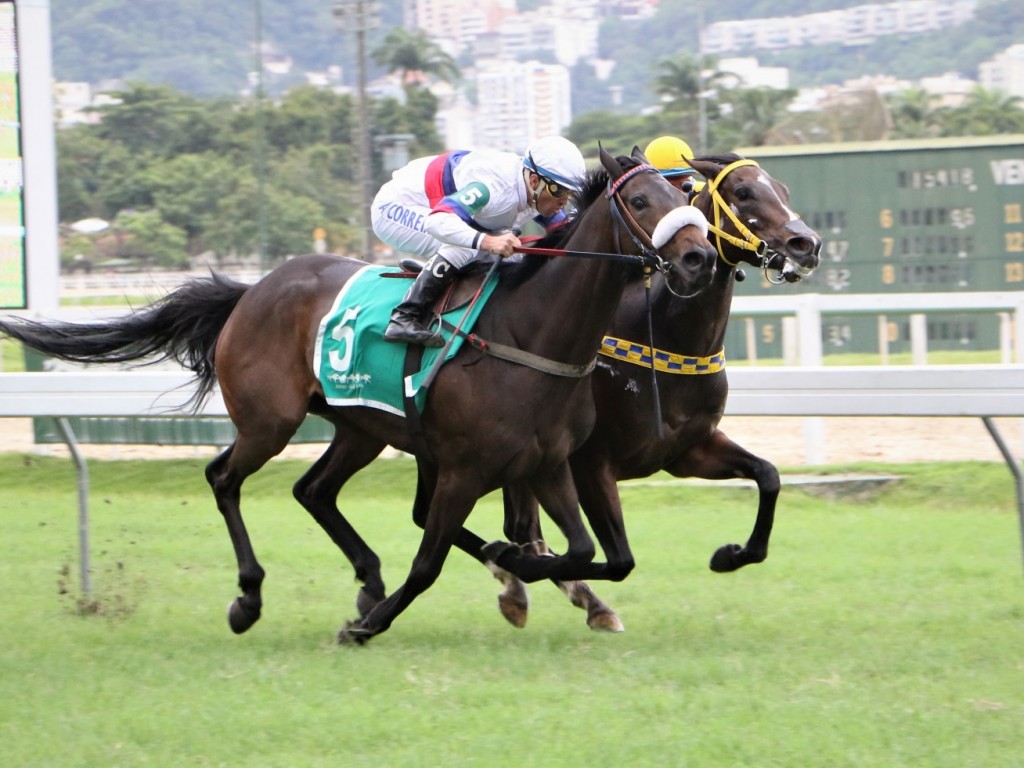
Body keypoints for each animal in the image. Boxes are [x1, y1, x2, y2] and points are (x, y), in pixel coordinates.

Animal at [0, 147, 716, 647]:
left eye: (685, 196)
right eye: (642, 201)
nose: (699, 259)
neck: (533, 332)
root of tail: (253, 289)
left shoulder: (545, 462)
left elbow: (595, 554)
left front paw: (519, 568)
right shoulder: (465, 467)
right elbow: (429, 562)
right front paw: (369, 627)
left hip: (360, 428)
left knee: (312, 490)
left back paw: (369, 581)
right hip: (270, 421)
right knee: (224, 478)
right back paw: (250, 599)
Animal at [483, 151, 819, 630]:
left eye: (783, 190)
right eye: (743, 192)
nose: (806, 244)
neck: (662, 338)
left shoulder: (687, 449)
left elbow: (768, 476)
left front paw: (730, 554)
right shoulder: (588, 462)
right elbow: (618, 558)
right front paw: (515, 564)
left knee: (521, 525)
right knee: (521, 527)